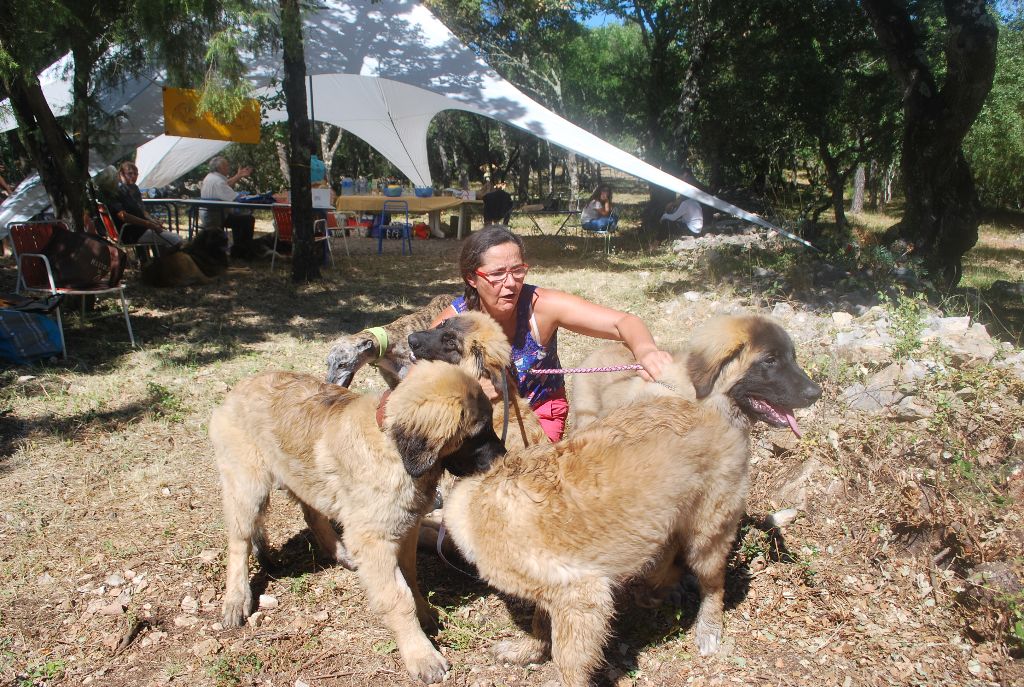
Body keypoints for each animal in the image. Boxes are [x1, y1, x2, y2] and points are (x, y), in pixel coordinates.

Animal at [209, 360, 505, 683]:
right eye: (478, 432)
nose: (503, 457)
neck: (392, 446)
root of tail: (238, 389)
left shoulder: (406, 527)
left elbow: (410, 577)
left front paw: (424, 614)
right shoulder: (375, 539)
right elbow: (397, 597)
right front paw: (421, 654)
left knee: (312, 514)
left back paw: (341, 553)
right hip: (247, 485)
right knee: (239, 542)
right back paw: (236, 599)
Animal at [444, 317, 819, 687]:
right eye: (771, 361)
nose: (815, 393)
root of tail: (708, 406)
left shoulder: (583, 596)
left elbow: (568, 661)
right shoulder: (556, 587)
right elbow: (540, 621)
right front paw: (529, 650)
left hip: (708, 530)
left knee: (713, 584)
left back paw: (707, 625)